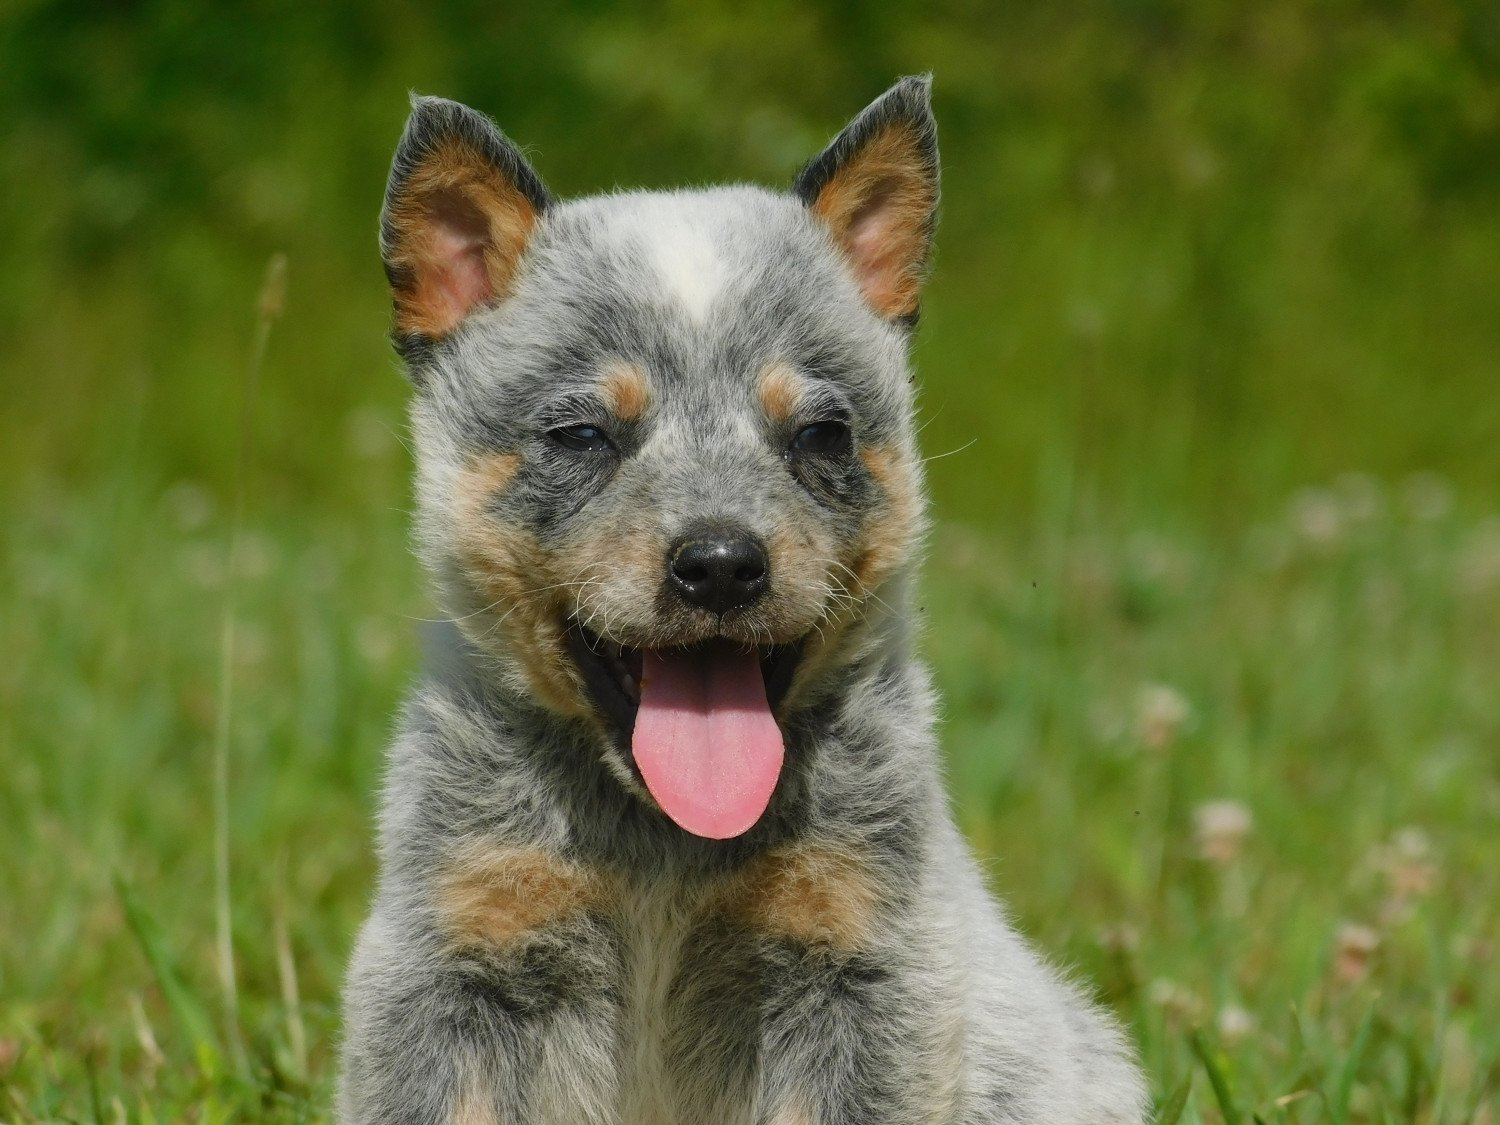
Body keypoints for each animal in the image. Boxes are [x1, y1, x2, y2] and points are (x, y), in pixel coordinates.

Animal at [340, 75, 1140, 1122]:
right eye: (583, 434)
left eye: (822, 434)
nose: (721, 563)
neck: (664, 848)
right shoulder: (454, 951)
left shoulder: (860, 960)